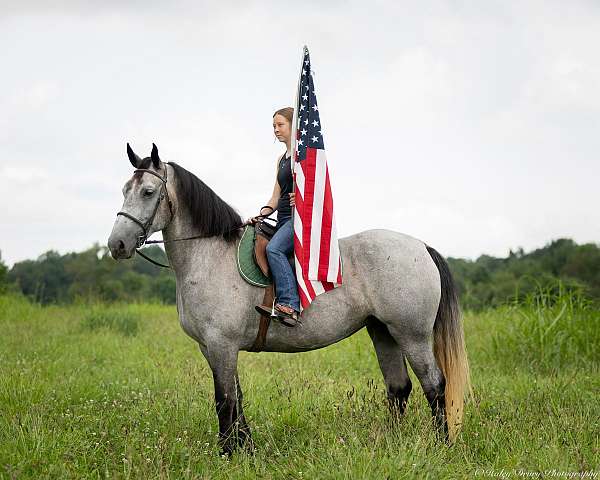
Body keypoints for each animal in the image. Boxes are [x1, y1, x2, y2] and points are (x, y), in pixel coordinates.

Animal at [110, 143, 472, 454]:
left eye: (148, 192)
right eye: (125, 190)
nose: (117, 245)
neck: (210, 255)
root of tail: (420, 246)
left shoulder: (222, 344)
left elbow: (224, 399)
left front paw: (227, 453)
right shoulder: (211, 347)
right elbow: (237, 397)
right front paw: (246, 449)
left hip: (411, 335)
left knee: (434, 385)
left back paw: (442, 446)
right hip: (382, 331)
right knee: (398, 387)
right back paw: (390, 444)